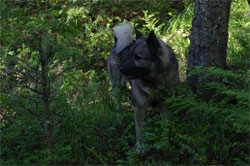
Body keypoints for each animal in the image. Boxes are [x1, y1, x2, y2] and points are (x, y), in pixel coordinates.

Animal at [107, 22, 178, 154]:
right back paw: (120, 120)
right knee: (118, 104)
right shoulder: (139, 108)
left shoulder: (165, 105)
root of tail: (116, 43)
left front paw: (165, 145)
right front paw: (140, 149)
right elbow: (139, 130)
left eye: (138, 57)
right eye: (129, 56)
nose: (122, 69)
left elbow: (164, 126)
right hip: (117, 87)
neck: (155, 81)